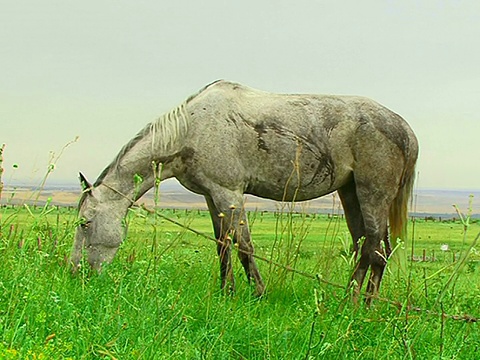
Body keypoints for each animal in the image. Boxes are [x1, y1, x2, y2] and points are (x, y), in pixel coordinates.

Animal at [69, 80, 418, 302]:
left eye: (85, 223)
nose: (75, 274)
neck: (191, 129)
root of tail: (404, 130)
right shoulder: (212, 196)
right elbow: (222, 246)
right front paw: (228, 293)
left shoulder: (230, 193)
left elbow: (243, 246)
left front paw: (258, 294)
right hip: (350, 194)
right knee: (367, 248)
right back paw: (350, 299)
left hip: (372, 195)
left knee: (375, 251)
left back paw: (357, 306)